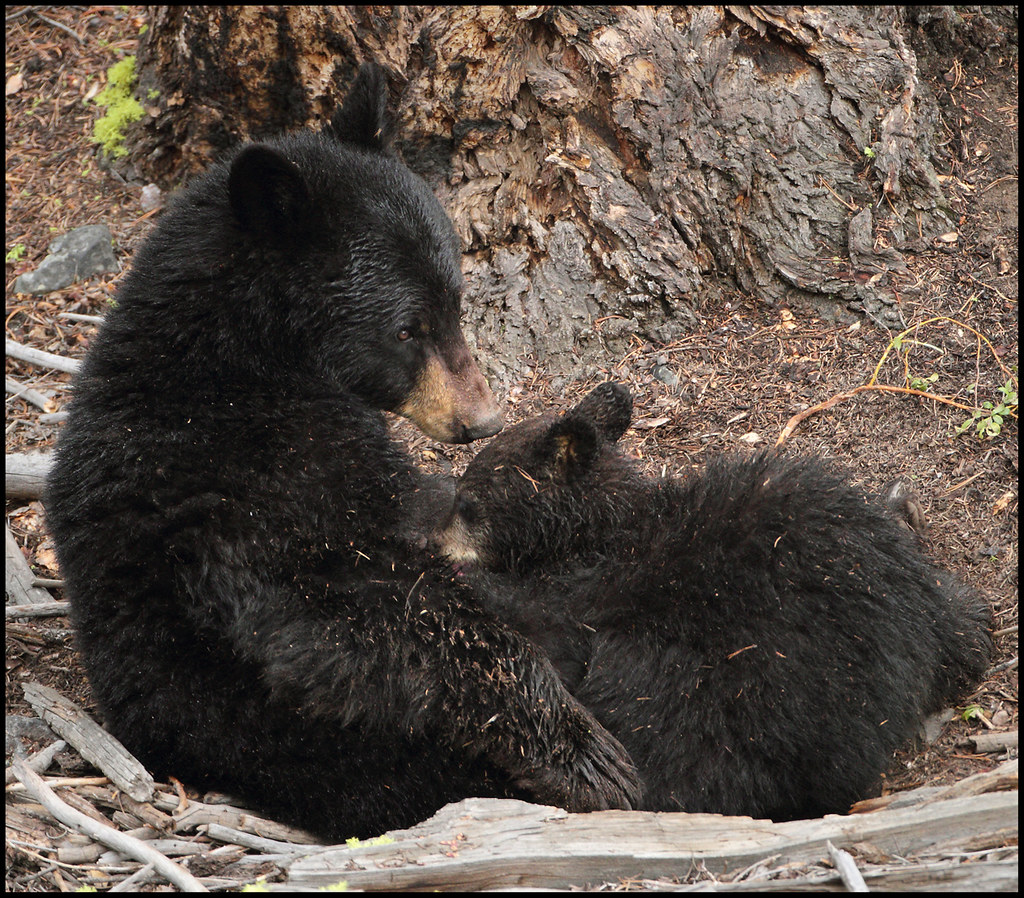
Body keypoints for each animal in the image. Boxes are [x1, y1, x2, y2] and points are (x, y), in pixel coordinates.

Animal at [44, 65, 641, 842]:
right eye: (407, 328)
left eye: (456, 302)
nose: (481, 419)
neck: (240, 360)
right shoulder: (254, 498)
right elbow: (378, 616)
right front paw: (583, 750)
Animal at [434, 382, 993, 821]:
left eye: (468, 502)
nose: (438, 538)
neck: (596, 531)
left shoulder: (594, 589)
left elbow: (544, 620)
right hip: (907, 590)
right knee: (966, 621)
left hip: (713, 675)